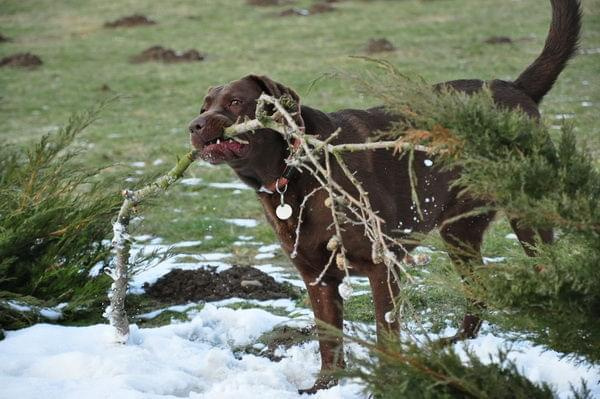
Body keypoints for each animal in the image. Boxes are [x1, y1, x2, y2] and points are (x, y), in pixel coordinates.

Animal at [189, 0, 580, 394]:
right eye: (204, 106)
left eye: (235, 102)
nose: (194, 125)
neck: (295, 174)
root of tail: (516, 88)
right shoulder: (317, 277)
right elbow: (329, 339)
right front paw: (325, 386)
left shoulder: (382, 265)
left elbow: (386, 334)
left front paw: (389, 382)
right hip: (459, 231)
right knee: (478, 287)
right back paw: (457, 345)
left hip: (527, 215)